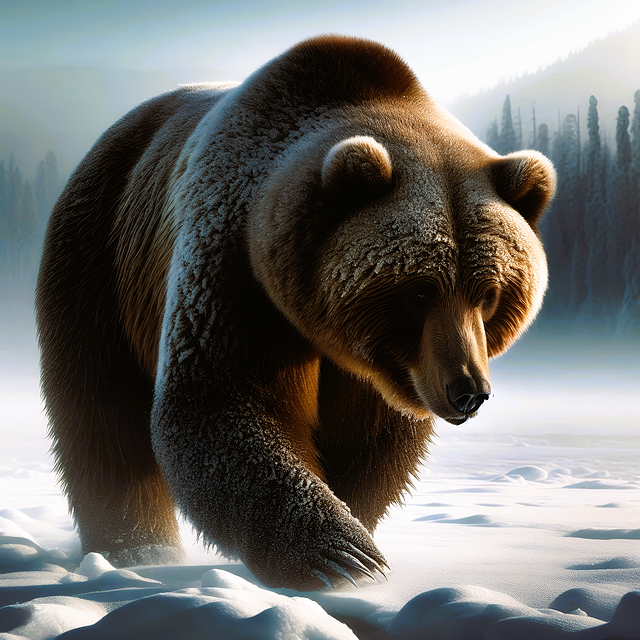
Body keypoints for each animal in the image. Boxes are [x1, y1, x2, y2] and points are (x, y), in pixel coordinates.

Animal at [36, 35, 555, 591]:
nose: (468, 391)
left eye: (489, 293)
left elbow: (372, 446)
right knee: (100, 416)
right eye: (419, 292)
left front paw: (355, 537)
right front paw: (342, 557)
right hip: (99, 259)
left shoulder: (386, 372)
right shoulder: (235, 271)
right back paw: (138, 551)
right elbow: (222, 402)